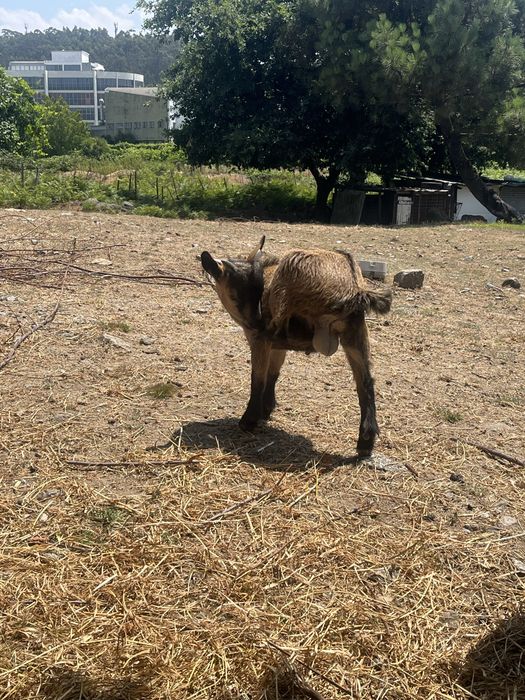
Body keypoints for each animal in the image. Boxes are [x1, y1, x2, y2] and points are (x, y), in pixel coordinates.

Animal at [201, 237, 391, 456]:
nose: (256, 319)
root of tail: (353, 289)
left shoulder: (258, 340)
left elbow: (258, 377)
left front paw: (250, 420)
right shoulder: (276, 347)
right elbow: (273, 373)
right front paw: (266, 410)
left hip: (291, 270)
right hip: (355, 333)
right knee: (365, 381)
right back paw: (365, 442)